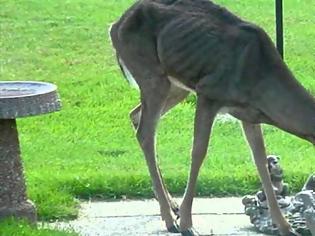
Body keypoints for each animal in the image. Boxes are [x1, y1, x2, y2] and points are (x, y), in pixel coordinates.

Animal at [109, 0, 315, 235]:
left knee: (136, 116)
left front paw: (285, 227)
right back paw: (171, 220)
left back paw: (172, 207)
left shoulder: (248, 115)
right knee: (145, 133)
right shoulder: (208, 93)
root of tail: (115, 26)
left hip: (177, 86)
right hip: (152, 74)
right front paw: (188, 224)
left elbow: (260, 160)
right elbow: (198, 152)